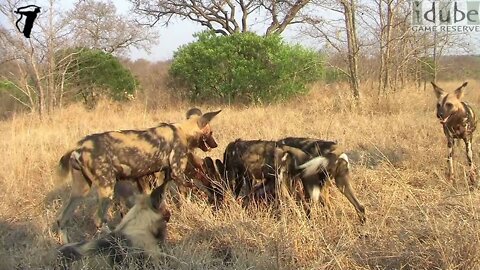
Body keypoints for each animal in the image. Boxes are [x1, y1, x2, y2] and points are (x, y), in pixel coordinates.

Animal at [56, 108, 221, 244]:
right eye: (211, 133)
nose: (216, 144)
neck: (182, 130)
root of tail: (78, 147)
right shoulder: (177, 173)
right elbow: (195, 190)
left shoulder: (151, 178)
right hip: (106, 188)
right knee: (98, 219)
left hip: (80, 191)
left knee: (62, 219)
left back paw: (65, 248)